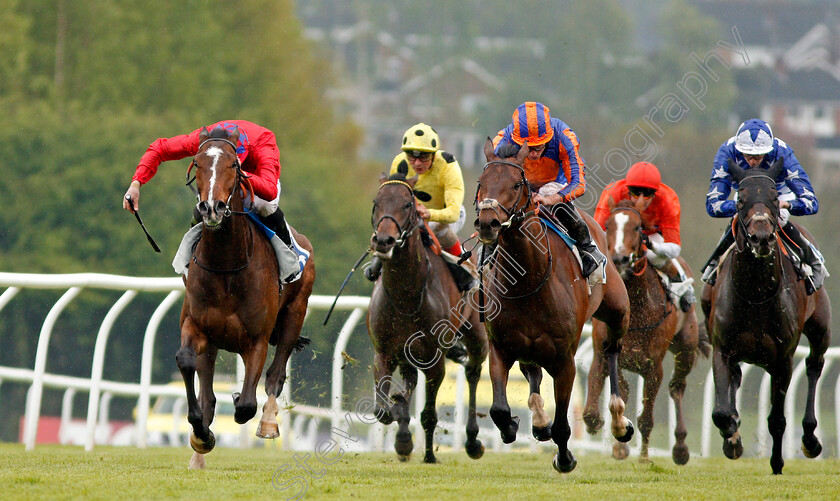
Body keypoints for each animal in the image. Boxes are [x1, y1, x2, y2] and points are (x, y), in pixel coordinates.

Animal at [174, 125, 316, 468]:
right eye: (197, 164)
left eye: (233, 166)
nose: (211, 208)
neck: (226, 266)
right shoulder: (195, 326)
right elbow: (186, 363)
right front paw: (201, 436)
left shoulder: (257, 339)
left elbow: (246, 405)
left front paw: (242, 402)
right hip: (214, 342)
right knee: (208, 392)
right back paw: (198, 453)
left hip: (294, 314)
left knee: (276, 375)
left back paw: (268, 422)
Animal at [366, 170, 488, 462]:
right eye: (377, 203)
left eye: (407, 204)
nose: (383, 241)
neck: (406, 296)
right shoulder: (384, 352)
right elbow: (382, 409)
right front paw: (398, 418)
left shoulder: (436, 362)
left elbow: (429, 415)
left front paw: (430, 455)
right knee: (410, 378)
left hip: (478, 337)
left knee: (473, 372)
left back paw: (472, 441)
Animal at [476, 141, 632, 472]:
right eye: (482, 183)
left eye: (516, 184)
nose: (487, 223)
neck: (527, 281)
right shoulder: (501, 348)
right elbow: (498, 409)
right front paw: (512, 426)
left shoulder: (565, 360)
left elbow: (563, 426)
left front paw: (565, 458)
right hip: (529, 349)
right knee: (533, 374)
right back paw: (538, 421)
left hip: (617, 310)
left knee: (611, 349)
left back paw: (618, 420)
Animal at [588, 197, 712, 462]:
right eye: (608, 226)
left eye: (637, 228)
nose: (619, 259)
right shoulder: (605, 352)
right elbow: (607, 398)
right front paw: (616, 437)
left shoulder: (653, 367)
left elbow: (646, 418)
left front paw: (644, 456)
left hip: (685, 350)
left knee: (677, 388)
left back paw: (680, 448)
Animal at [700, 159, 832, 472]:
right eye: (740, 199)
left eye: (773, 198)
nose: (761, 237)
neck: (756, 293)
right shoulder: (722, 349)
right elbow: (721, 412)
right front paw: (732, 438)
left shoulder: (782, 360)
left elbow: (777, 419)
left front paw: (777, 462)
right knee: (736, 378)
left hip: (820, 327)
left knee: (814, 365)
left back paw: (810, 439)